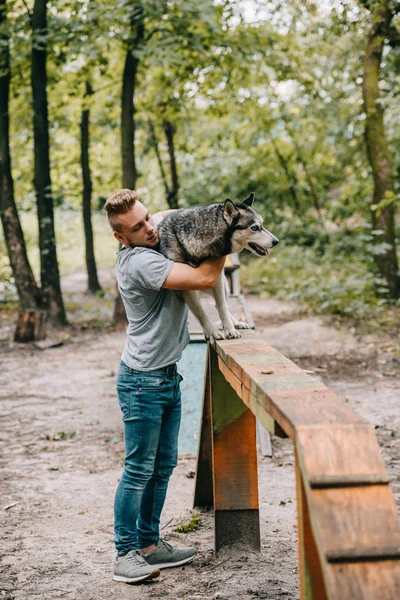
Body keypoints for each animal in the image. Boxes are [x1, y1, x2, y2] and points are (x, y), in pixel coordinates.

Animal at [156, 192, 278, 342]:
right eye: (254, 228)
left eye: (262, 225)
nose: (276, 241)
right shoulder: (186, 289)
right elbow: (201, 312)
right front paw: (212, 332)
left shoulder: (216, 279)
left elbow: (222, 307)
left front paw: (229, 329)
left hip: (224, 286)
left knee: (219, 304)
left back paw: (236, 323)